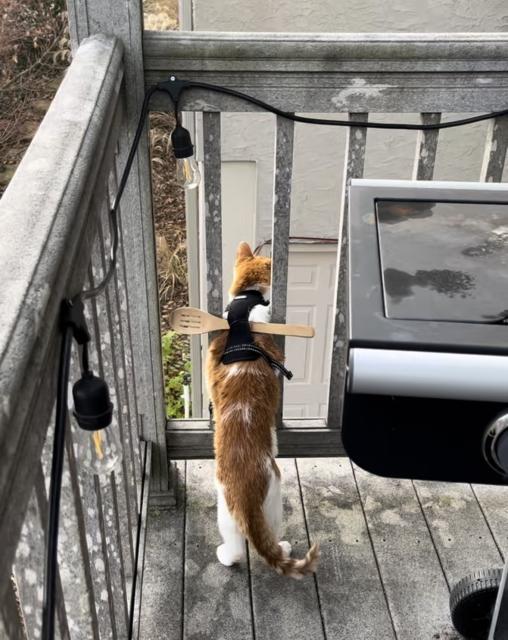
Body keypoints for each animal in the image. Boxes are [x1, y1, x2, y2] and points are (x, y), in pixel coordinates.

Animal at [205, 241, 318, 580]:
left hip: (225, 515)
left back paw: (225, 556)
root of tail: (244, 492)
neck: (243, 311)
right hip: (275, 501)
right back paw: (283, 547)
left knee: (235, 550)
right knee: (268, 540)